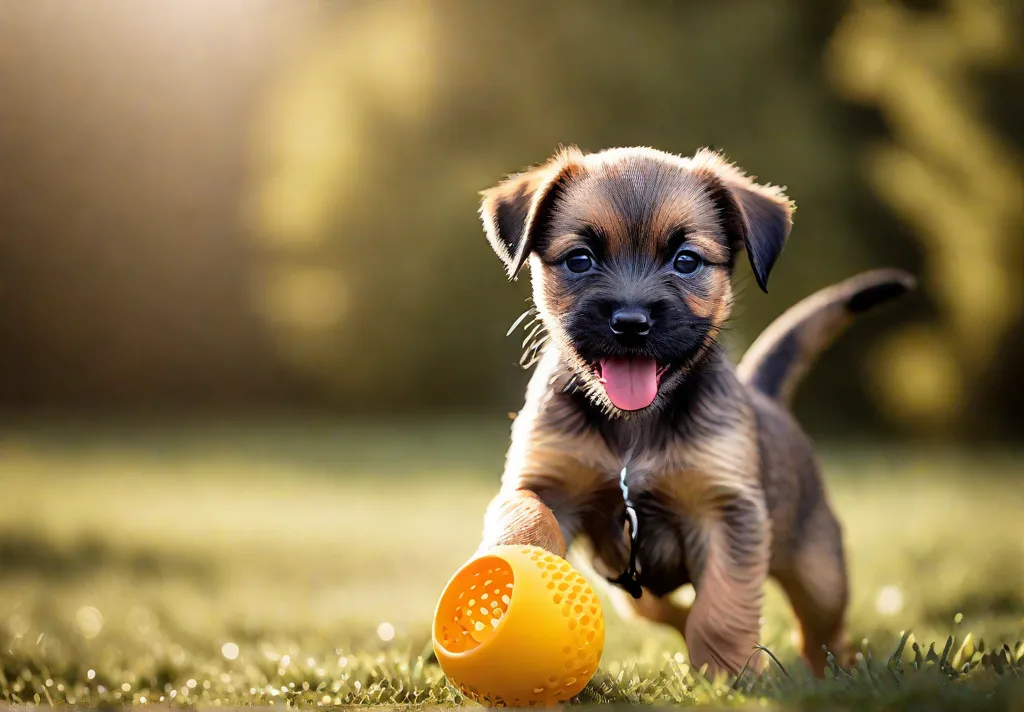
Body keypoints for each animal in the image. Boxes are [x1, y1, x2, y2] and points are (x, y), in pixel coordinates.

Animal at [471, 146, 913, 680]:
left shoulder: (726, 511)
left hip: (820, 574)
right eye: (580, 260)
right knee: (661, 609)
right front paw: (507, 576)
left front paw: (729, 677)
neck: (634, 431)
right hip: (628, 589)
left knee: (822, 633)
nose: (631, 321)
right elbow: (526, 518)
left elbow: (721, 608)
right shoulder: (542, 481)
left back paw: (835, 676)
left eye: (686, 261)